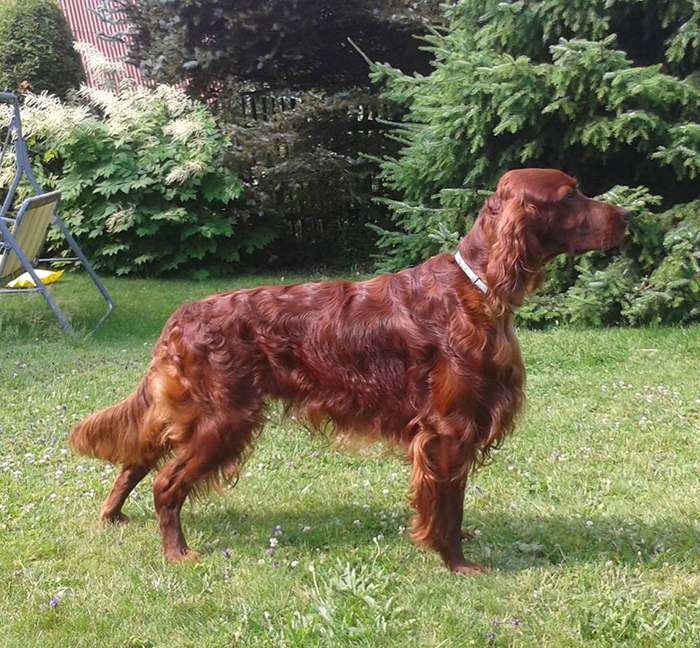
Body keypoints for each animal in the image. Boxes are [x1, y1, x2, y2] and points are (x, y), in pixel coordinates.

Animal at [71, 170, 628, 576]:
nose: (628, 214)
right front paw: (456, 562)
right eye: (570, 195)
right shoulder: (449, 429)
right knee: (166, 484)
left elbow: (454, 502)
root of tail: (182, 316)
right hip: (223, 419)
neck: (478, 287)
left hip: (186, 411)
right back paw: (176, 553)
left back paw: (113, 514)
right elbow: (447, 506)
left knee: (136, 457)